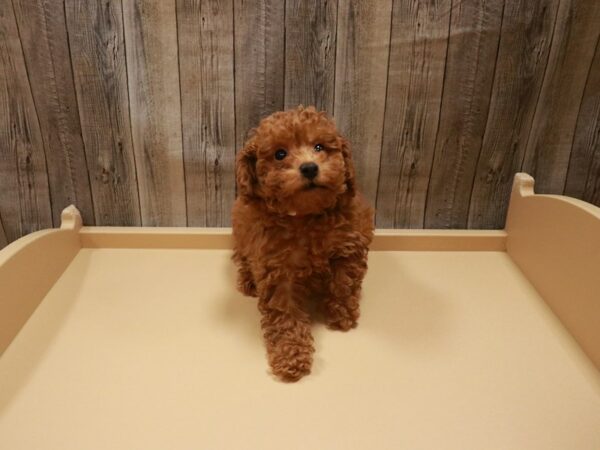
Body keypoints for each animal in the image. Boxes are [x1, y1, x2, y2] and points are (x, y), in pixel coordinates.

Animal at [232, 105, 372, 380]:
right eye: (280, 154)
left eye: (319, 146)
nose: (309, 168)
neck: (306, 215)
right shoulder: (277, 269)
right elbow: (284, 314)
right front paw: (291, 356)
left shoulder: (348, 245)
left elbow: (344, 283)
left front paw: (342, 315)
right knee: (243, 259)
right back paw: (247, 281)